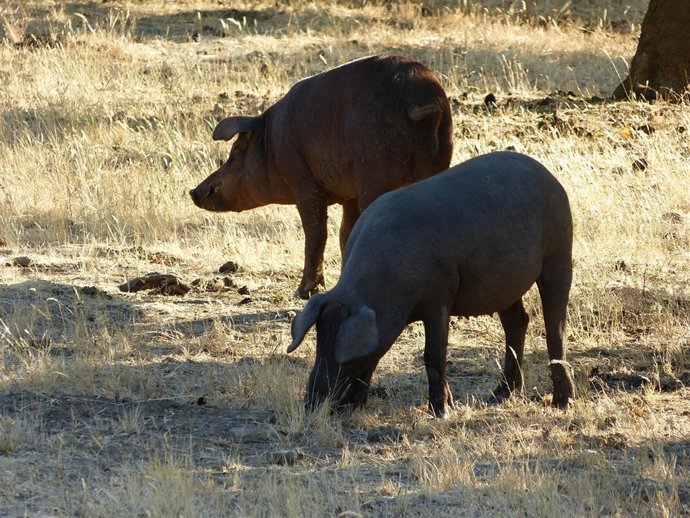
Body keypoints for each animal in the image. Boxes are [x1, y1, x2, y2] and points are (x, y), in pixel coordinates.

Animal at [189, 55, 452, 299]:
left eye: (235, 150)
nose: (193, 191)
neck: (270, 145)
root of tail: (418, 103)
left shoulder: (302, 182)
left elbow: (316, 234)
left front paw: (303, 293)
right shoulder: (350, 195)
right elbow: (345, 233)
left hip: (376, 173)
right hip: (436, 164)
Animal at [287, 151, 575, 417]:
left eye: (345, 356)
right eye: (319, 342)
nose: (310, 403)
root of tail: (547, 174)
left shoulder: (439, 299)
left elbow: (433, 356)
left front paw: (441, 412)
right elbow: (376, 356)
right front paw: (353, 406)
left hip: (559, 251)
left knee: (555, 325)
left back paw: (562, 403)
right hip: (505, 284)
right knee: (517, 322)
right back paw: (497, 396)